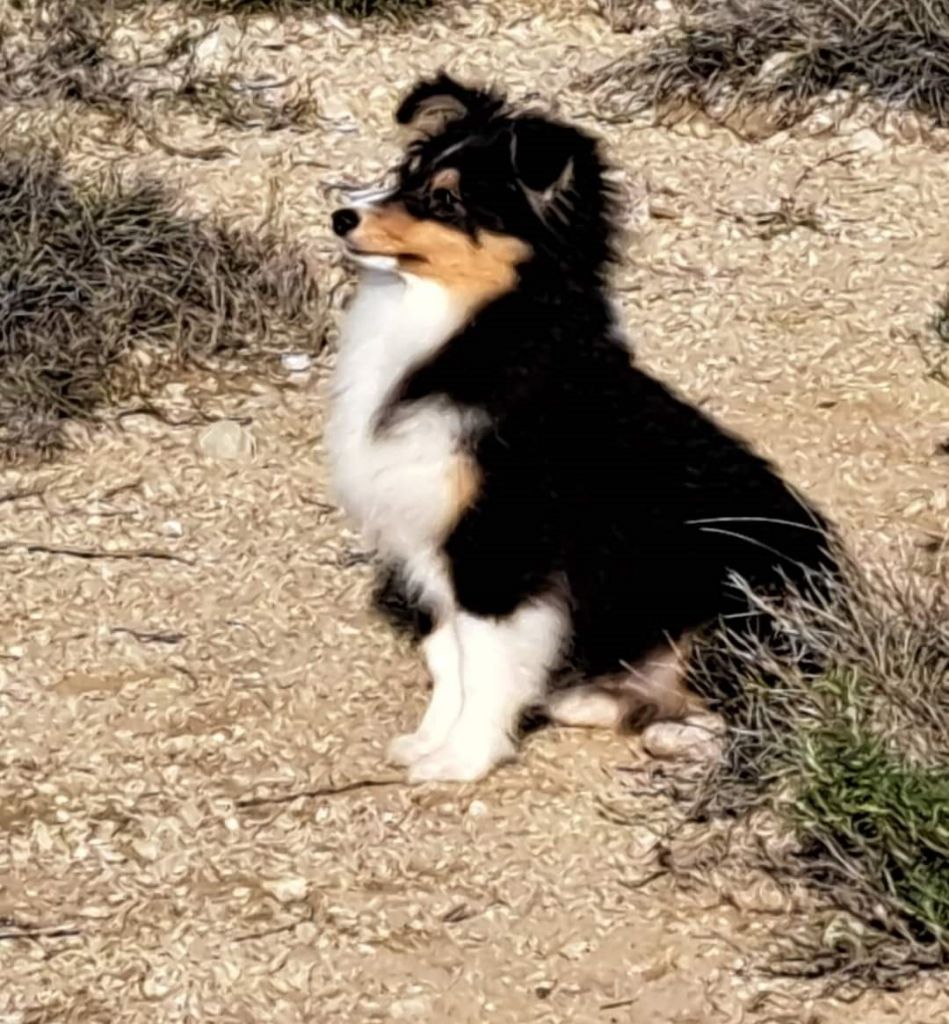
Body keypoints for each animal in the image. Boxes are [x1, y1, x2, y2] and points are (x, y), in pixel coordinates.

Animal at [327, 74, 839, 782]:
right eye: (408, 176)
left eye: (446, 199)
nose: (340, 216)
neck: (482, 326)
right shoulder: (436, 548)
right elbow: (449, 657)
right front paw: (430, 742)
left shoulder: (500, 551)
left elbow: (483, 666)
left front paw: (462, 760)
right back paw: (588, 700)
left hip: (735, 610)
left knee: (766, 716)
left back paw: (678, 740)